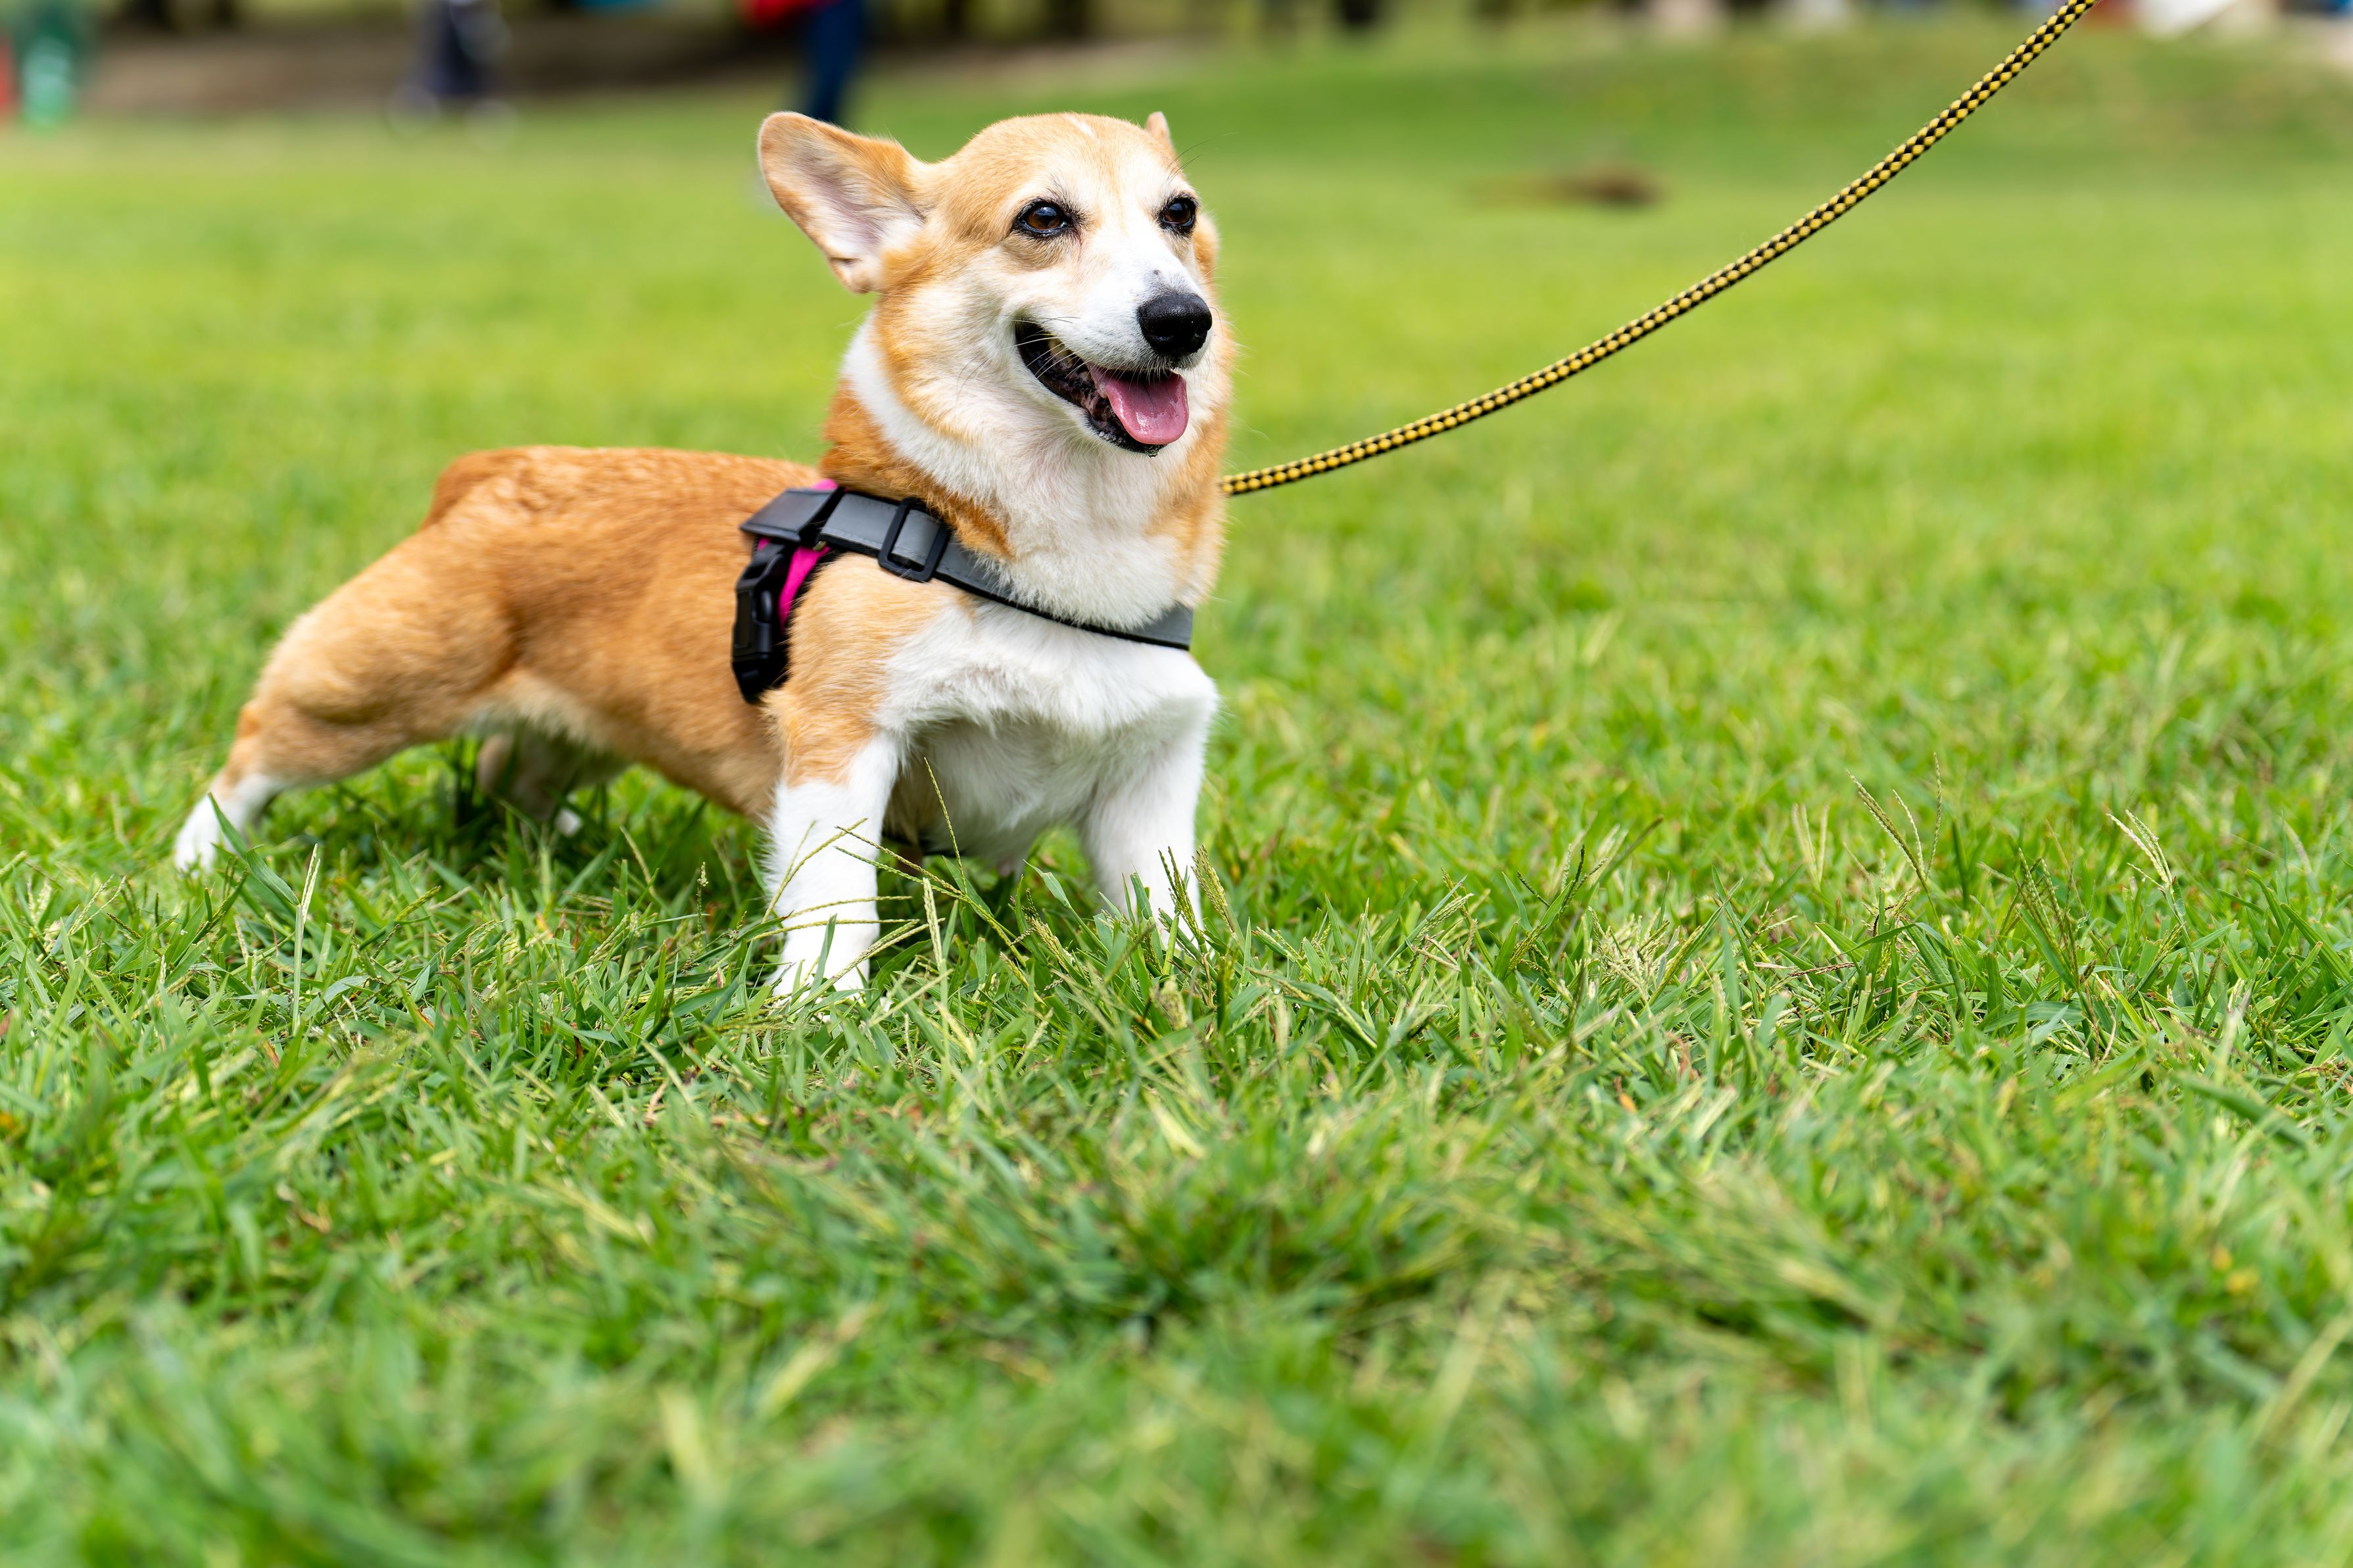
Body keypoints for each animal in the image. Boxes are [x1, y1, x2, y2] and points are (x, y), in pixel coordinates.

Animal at [172, 108, 1233, 996]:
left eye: (1179, 214)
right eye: (1042, 218)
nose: (1184, 321)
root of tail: (489, 474)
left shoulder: (1149, 777)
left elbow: (1161, 903)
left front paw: (1184, 987)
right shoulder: (843, 742)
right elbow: (835, 902)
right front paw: (820, 1012)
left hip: (576, 734)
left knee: (513, 774)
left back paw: (558, 843)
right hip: (371, 692)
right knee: (253, 753)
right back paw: (197, 862)